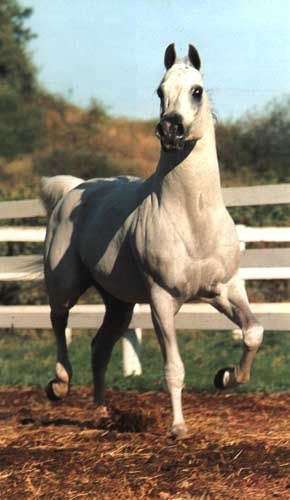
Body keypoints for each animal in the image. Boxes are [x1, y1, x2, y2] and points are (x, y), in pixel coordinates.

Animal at [39, 46, 264, 438]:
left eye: (196, 90)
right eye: (160, 91)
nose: (171, 128)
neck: (192, 217)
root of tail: (74, 189)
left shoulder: (224, 290)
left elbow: (253, 332)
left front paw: (225, 377)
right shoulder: (162, 299)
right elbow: (174, 367)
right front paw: (178, 427)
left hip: (119, 303)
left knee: (100, 347)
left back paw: (101, 411)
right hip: (66, 284)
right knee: (59, 321)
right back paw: (59, 386)